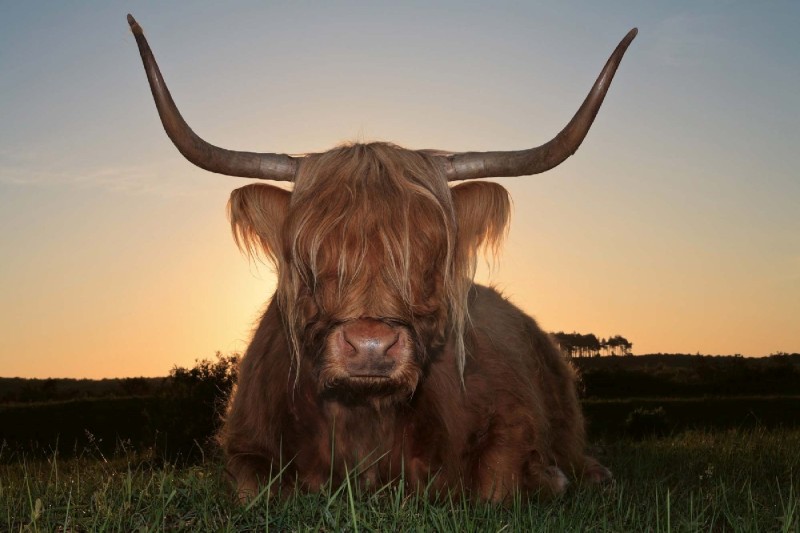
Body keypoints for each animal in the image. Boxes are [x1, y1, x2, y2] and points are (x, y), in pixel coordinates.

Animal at [128, 14, 636, 502]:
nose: (371, 345)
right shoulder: (245, 442)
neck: (366, 421)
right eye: (310, 258)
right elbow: (253, 490)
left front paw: (551, 478)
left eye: (430, 254)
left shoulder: (512, 419)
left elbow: (496, 484)